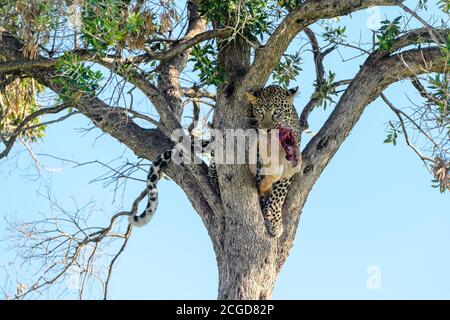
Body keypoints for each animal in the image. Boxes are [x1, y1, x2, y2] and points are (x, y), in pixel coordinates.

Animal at [246, 84, 302, 238]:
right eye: (260, 111)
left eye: (277, 111)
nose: (267, 130)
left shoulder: (290, 165)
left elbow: (278, 195)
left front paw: (274, 221)